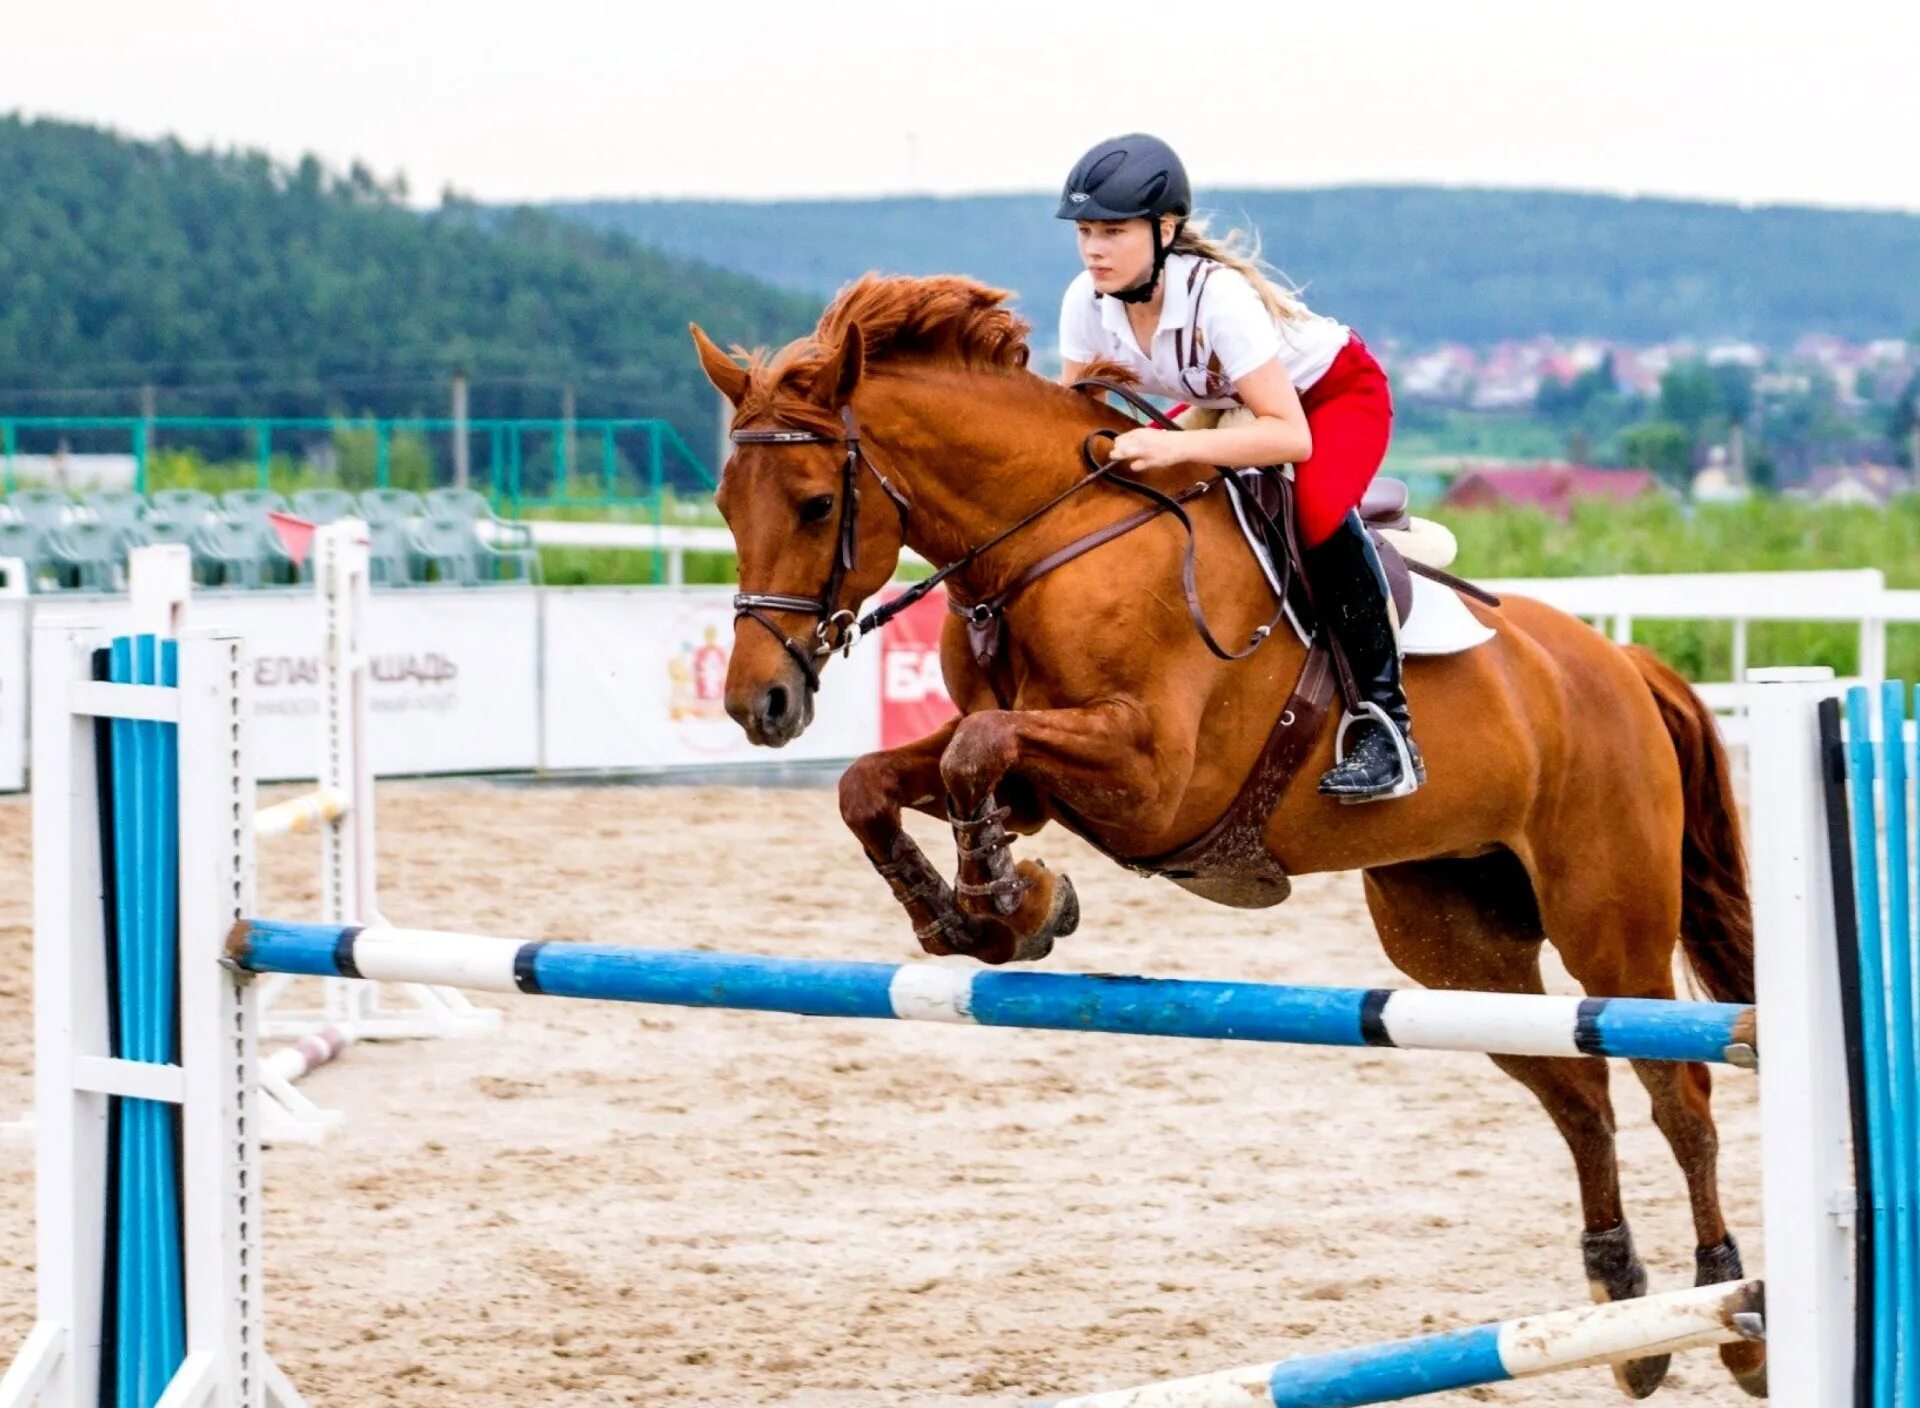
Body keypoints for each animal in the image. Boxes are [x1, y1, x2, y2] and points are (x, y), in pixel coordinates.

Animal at [691, 274, 1766, 1398]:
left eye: (817, 504)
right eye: (724, 505)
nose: (760, 704)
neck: (1048, 543)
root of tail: (1621, 665)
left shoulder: (1152, 777)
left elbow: (975, 752)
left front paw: (1005, 904)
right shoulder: (1037, 783)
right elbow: (883, 782)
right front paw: (991, 915)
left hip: (1611, 921)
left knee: (1676, 1089)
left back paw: (1731, 1313)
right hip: (1454, 942)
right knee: (1579, 1090)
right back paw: (1629, 1316)